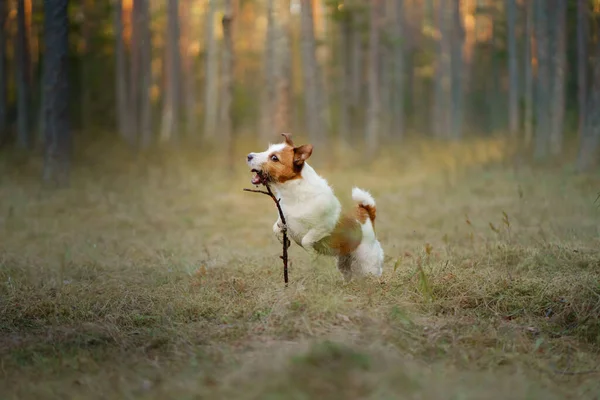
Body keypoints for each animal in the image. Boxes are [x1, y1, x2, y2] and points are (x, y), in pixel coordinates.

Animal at [245, 133, 382, 280]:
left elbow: (306, 240)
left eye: (274, 158)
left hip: (367, 263)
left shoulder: (323, 227)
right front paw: (283, 240)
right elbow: (275, 228)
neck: (295, 193)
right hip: (344, 262)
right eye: (268, 150)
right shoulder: (284, 220)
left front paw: (313, 254)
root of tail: (366, 215)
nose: (249, 156)